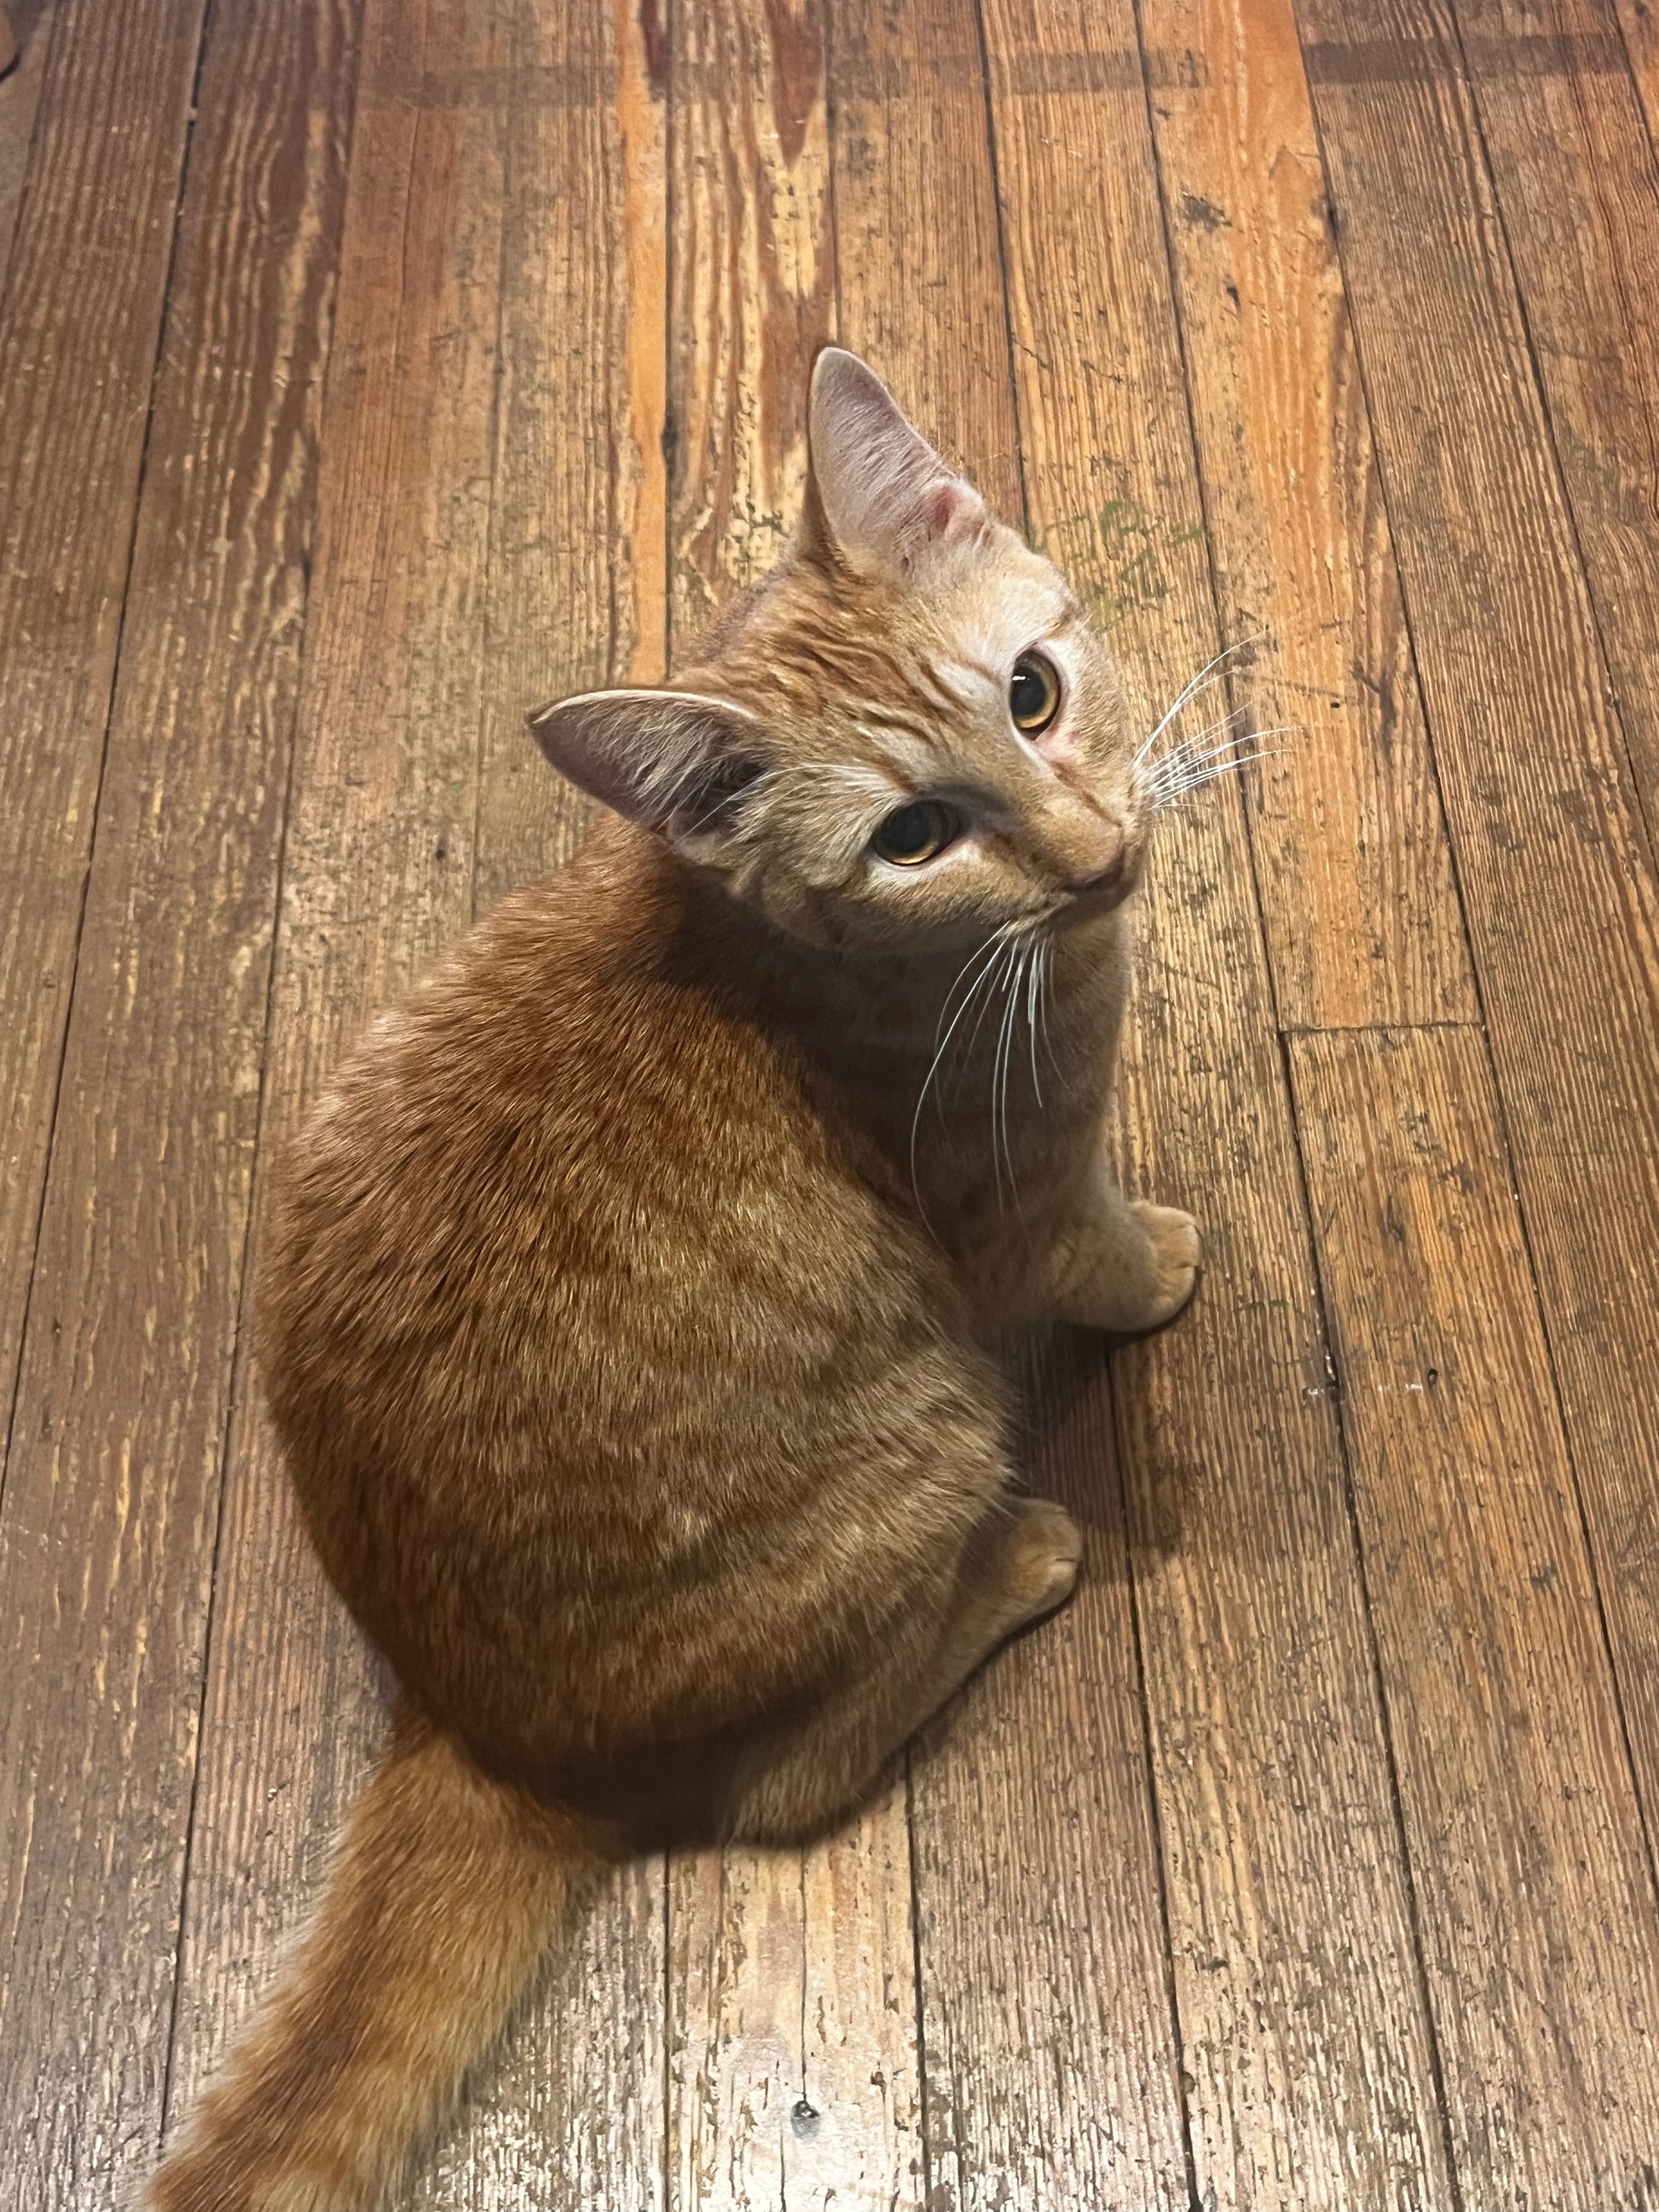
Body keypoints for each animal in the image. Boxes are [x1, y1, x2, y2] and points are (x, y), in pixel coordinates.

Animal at [147, 346, 1200, 2212]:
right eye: (915, 833)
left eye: (1032, 691)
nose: (1094, 856)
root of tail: (460, 1718)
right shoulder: (1020, 1200)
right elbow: (1102, 1249)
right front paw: (1172, 1265)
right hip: (924, 1437)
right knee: (787, 1785)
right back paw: (1016, 1557)